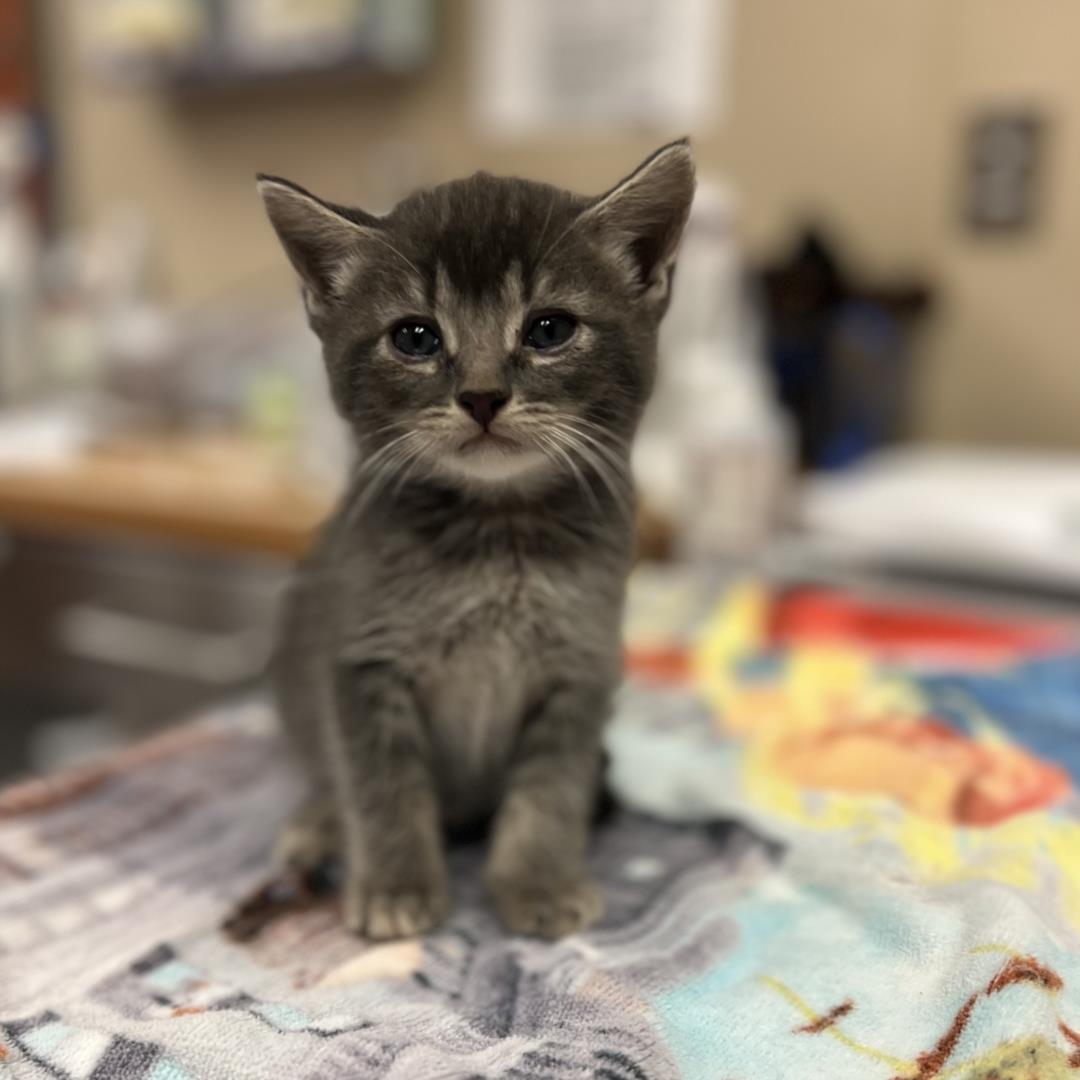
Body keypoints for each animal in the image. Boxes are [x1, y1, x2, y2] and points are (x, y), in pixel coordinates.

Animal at [260, 141, 695, 937]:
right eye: (416, 337)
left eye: (550, 330)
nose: (484, 396)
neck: (496, 535)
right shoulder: (360, 662)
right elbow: (381, 787)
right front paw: (398, 886)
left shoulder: (579, 667)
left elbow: (549, 793)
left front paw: (538, 883)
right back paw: (317, 825)